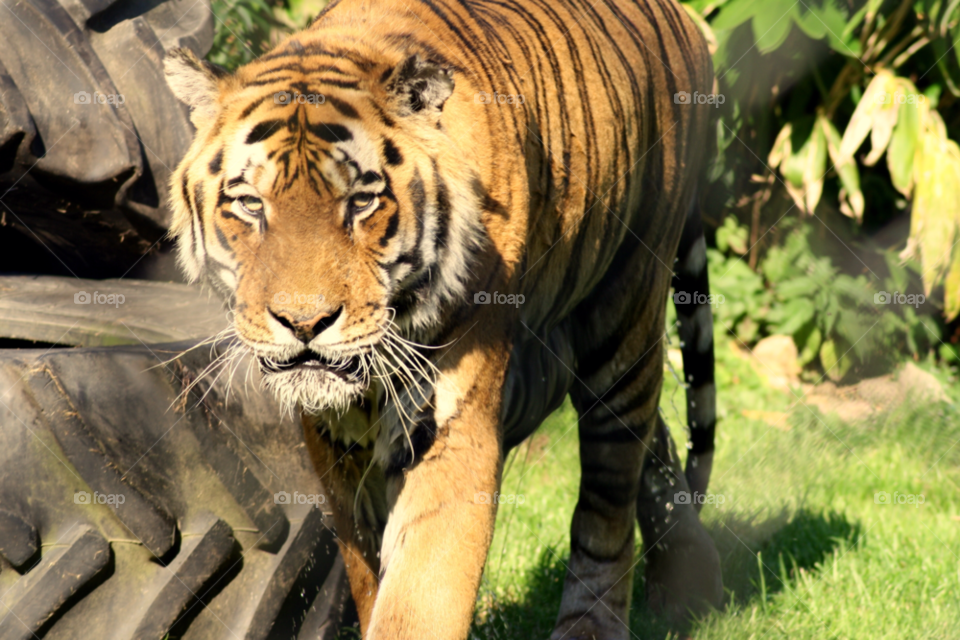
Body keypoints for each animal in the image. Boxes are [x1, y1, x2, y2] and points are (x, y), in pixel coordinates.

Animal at [164, 0, 722, 636]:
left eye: (361, 202)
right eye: (250, 204)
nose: (304, 324)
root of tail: (686, 19)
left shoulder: (452, 418)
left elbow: (418, 594)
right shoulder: (333, 442)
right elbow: (367, 573)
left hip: (625, 313)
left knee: (611, 485)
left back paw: (606, 619)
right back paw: (692, 584)